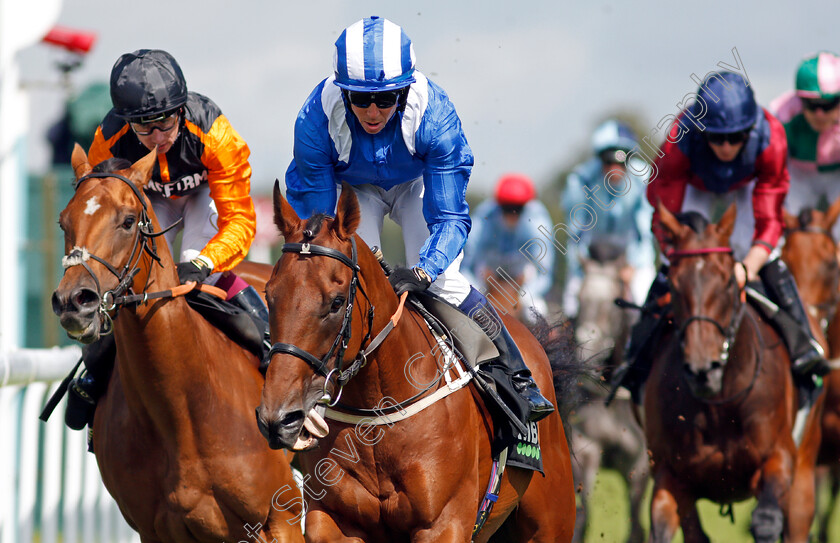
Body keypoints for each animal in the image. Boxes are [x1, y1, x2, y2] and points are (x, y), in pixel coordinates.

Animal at [50, 146, 306, 543]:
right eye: (64, 222)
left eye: (128, 221)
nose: (74, 301)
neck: (182, 409)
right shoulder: (155, 530)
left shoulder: (282, 520)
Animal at [256, 185, 576, 540]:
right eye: (270, 295)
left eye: (336, 302)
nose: (279, 418)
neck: (378, 413)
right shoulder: (333, 519)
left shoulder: (444, 524)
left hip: (550, 521)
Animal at [648, 203, 824, 543]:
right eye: (673, 285)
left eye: (728, 282)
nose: (702, 370)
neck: (721, 403)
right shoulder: (669, 474)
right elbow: (662, 527)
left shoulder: (779, 456)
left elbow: (767, 520)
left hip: (806, 466)